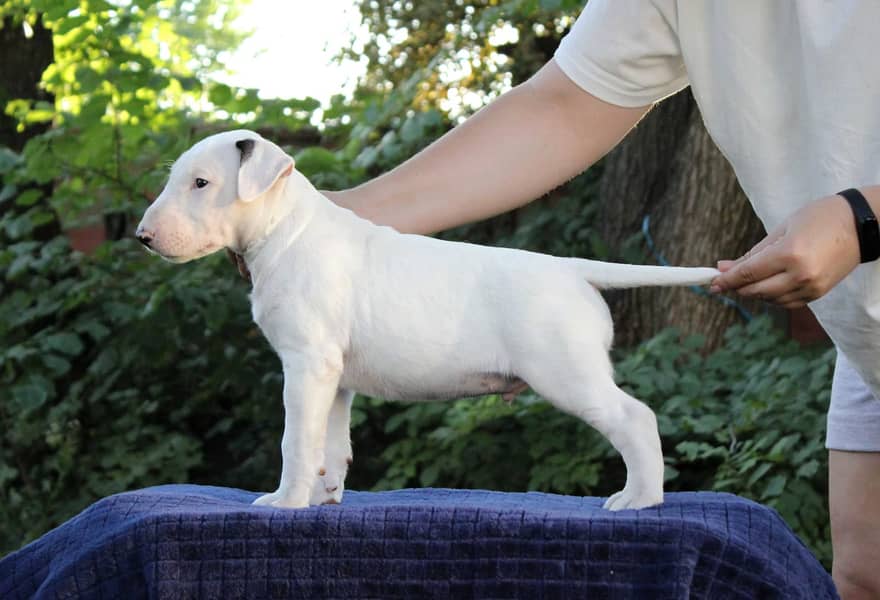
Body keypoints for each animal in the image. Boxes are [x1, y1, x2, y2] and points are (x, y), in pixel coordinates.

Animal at [136, 130, 716, 510]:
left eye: (201, 183)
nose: (142, 237)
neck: (286, 229)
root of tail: (572, 269)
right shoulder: (333, 378)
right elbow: (331, 443)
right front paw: (323, 497)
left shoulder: (305, 365)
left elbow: (296, 440)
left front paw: (284, 502)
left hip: (567, 372)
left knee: (636, 418)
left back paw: (639, 499)